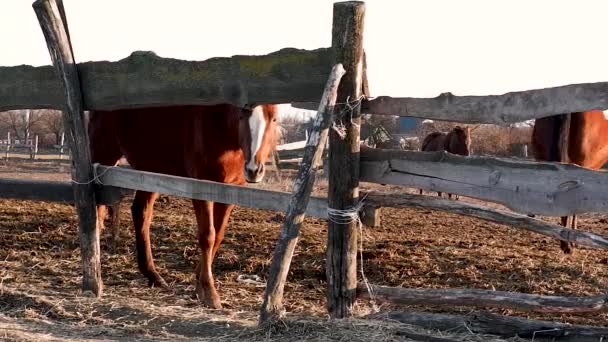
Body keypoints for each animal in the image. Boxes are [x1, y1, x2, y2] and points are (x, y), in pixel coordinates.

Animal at [89, 103, 280, 308]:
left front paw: (199, 282)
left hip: (151, 170)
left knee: (141, 213)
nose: (254, 169)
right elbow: (208, 236)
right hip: (104, 155)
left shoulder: (230, 191)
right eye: (242, 115)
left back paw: (153, 276)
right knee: (97, 210)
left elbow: (218, 235)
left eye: (274, 118)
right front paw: (209, 292)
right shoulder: (201, 188)